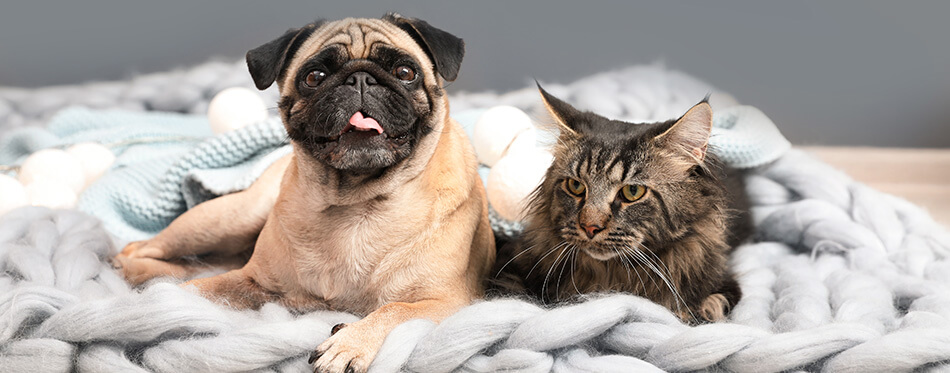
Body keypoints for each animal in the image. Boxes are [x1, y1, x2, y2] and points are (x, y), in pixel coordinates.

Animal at [115, 13, 494, 370]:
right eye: (314, 77)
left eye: (404, 72)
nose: (360, 79)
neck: (357, 202)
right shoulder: (252, 281)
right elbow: (196, 290)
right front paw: (154, 307)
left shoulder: (449, 303)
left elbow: (394, 310)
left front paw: (349, 343)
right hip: (226, 219)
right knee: (147, 249)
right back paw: (131, 269)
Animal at [498, 85, 752, 322]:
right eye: (576, 186)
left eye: (632, 191)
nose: (590, 227)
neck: (611, 274)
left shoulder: (721, 285)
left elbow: (704, 308)